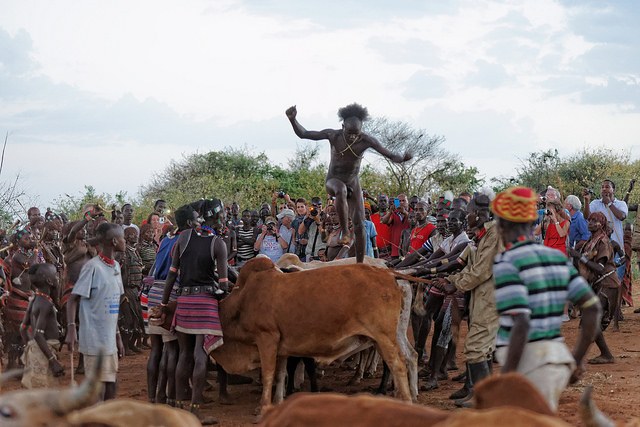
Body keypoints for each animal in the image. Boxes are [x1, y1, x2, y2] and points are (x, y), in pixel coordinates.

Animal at [210, 258, 418, 414]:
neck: (243, 300)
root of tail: (387, 273)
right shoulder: (282, 347)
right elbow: (280, 374)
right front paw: (278, 401)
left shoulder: (266, 337)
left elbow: (269, 373)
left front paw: (263, 406)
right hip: (387, 337)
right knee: (407, 357)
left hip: (384, 337)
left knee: (398, 365)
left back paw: (406, 401)